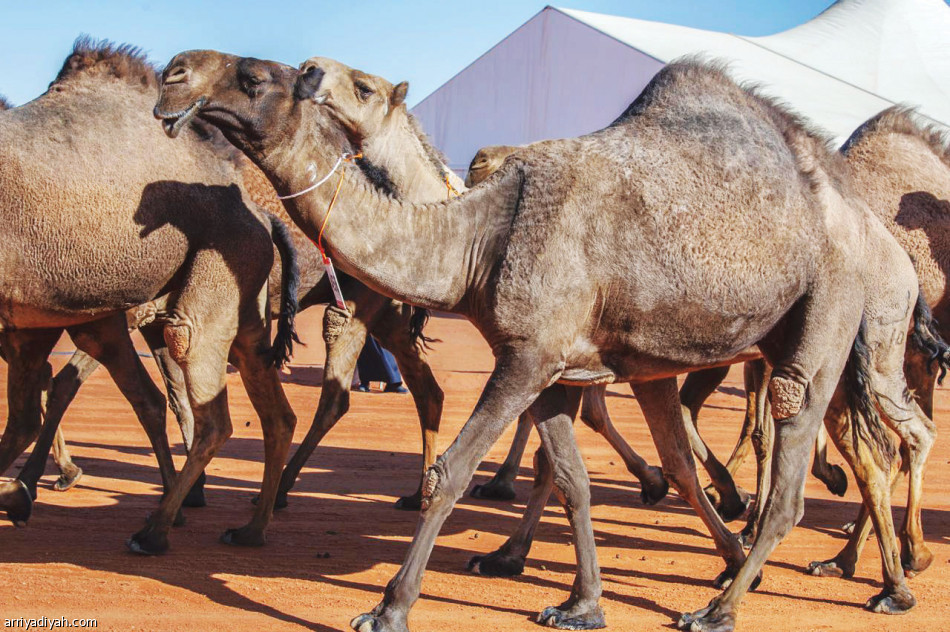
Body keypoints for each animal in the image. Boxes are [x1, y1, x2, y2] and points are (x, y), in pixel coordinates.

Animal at [0, 39, 302, 552]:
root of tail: (261, 214)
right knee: (270, 413)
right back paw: (247, 528)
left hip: (209, 278)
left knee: (205, 402)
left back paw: (155, 527)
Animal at [154, 54, 928, 632]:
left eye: (255, 77)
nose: (173, 74)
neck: (478, 236)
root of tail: (869, 228)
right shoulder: (554, 364)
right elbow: (572, 479)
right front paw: (581, 603)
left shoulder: (526, 357)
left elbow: (453, 472)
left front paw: (389, 608)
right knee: (844, 448)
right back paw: (835, 572)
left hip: (830, 312)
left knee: (806, 460)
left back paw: (731, 603)